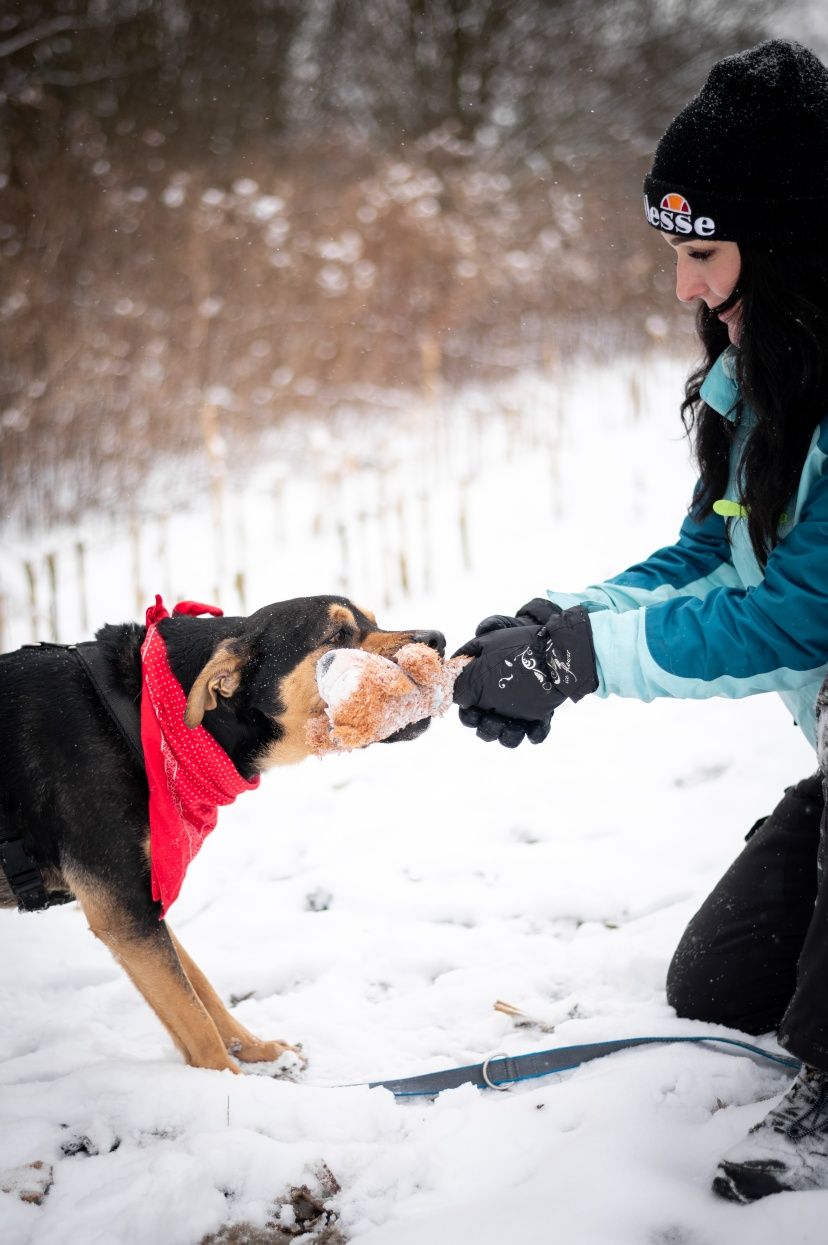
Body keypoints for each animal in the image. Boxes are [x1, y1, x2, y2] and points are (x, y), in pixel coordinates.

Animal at [0, 592, 445, 1070]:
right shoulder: (121, 908)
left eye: (373, 621)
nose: (438, 639)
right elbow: (193, 1017)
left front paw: (255, 1050)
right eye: (339, 634)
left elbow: (200, 990)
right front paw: (226, 1077)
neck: (146, 715)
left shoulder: (145, 893)